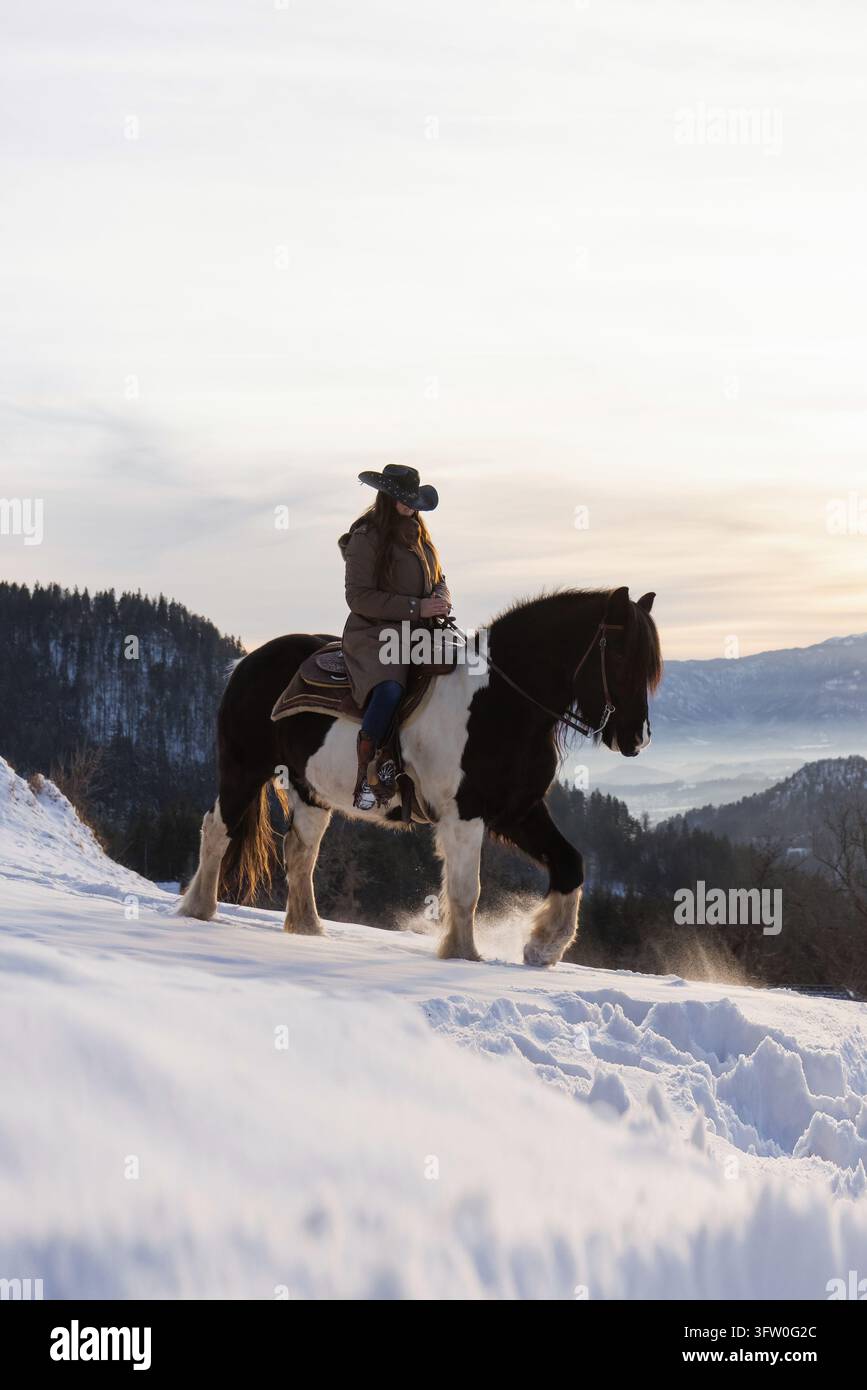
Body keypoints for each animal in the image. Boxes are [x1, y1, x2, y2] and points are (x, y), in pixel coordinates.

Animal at [177, 585, 661, 966]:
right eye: (622, 656)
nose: (637, 739)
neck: (499, 703)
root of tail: (246, 662)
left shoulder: (518, 811)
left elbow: (570, 863)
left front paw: (543, 947)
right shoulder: (465, 815)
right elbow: (466, 888)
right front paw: (463, 954)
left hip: (309, 790)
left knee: (300, 853)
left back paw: (309, 929)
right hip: (242, 768)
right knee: (217, 829)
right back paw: (198, 909)